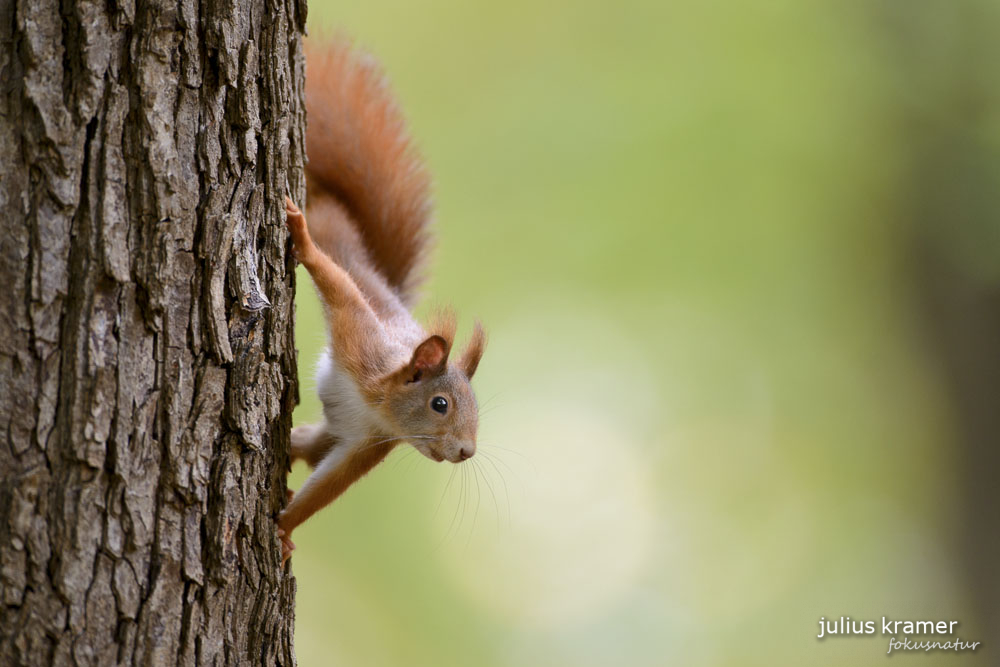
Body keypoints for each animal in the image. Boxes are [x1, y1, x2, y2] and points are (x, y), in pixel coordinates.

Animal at [280, 43, 486, 564]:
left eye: (476, 405)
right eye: (440, 404)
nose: (467, 451)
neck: (379, 405)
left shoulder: (368, 441)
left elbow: (329, 483)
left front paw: (283, 528)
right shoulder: (361, 343)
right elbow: (341, 291)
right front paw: (304, 245)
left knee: (310, 447)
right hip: (333, 224)